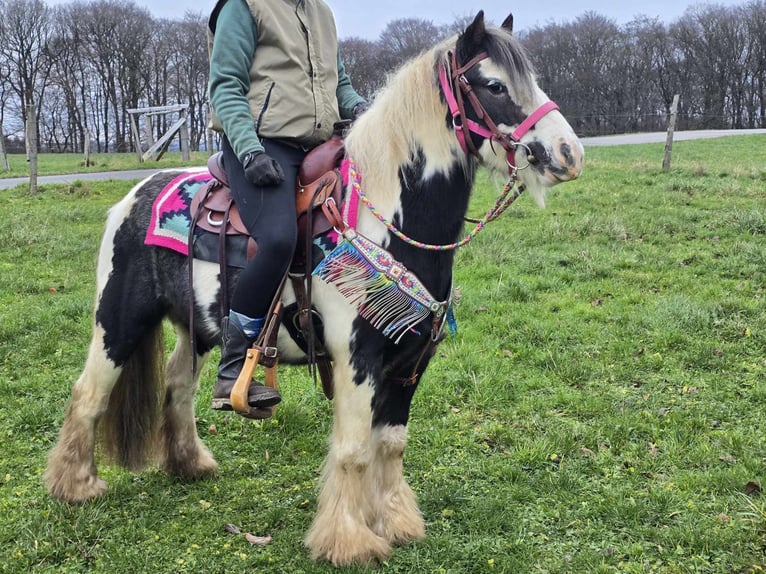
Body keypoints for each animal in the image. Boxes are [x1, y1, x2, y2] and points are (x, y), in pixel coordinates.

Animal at [45, 11, 584, 568]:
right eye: (494, 85)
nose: (569, 154)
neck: (383, 221)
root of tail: (135, 194)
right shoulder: (357, 361)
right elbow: (353, 450)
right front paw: (348, 540)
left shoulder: (410, 363)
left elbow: (391, 444)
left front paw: (397, 521)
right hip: (118, 320)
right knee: (89, 392)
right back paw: (75, 485)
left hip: (197, 330)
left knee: (177, 386)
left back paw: (190, 463)